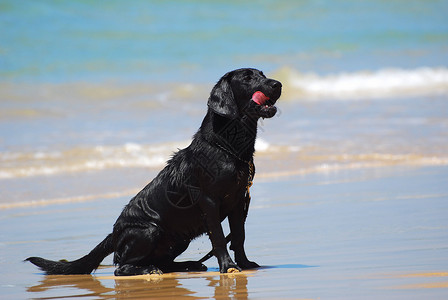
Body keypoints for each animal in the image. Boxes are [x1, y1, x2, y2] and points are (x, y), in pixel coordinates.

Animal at [26, 69, 282, 276]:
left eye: (262, 73)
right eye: (247, 78)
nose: (278, 83)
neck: (226, 148)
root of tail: (114, 234)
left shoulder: (240, 200)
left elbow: (238, 236)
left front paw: (245, 264)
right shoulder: (209, 201)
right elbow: (219, 237)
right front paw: (228, 267)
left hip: (179, 239)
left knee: (163, 262)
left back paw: (188, 265)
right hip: (150, 230)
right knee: (121, 267)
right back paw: (149, 270)